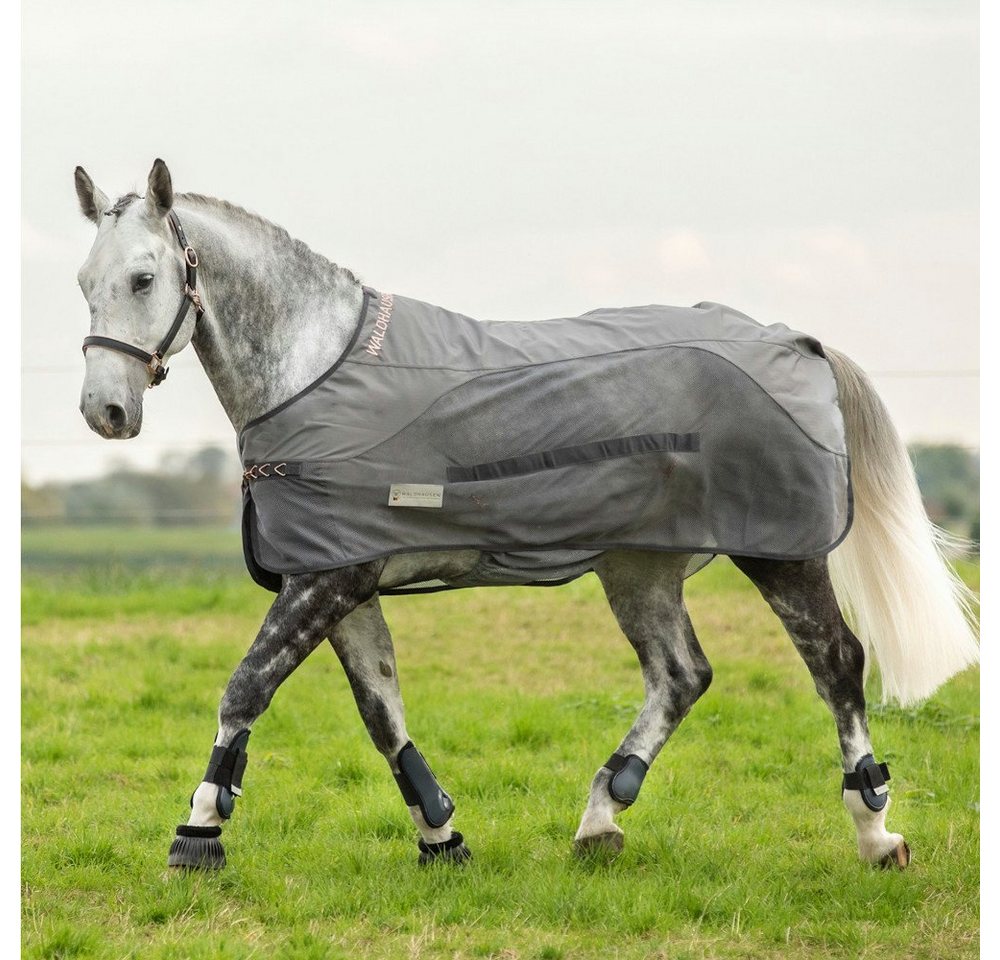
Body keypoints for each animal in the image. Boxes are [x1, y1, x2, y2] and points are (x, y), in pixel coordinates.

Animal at [73, 159, 979, 870]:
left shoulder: (327, 582)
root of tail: (797, 340)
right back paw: (601, 818)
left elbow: (246, 688)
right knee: (681, 675)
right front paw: (441, 837)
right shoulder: (340, 581)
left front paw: (198, 832)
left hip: (779, 550)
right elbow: (381, 713)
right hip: (641, 565)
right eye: (85, 282)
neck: (314, 370)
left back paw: (875, 832)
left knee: (836, 663)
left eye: (144, 278)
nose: (105, 412)